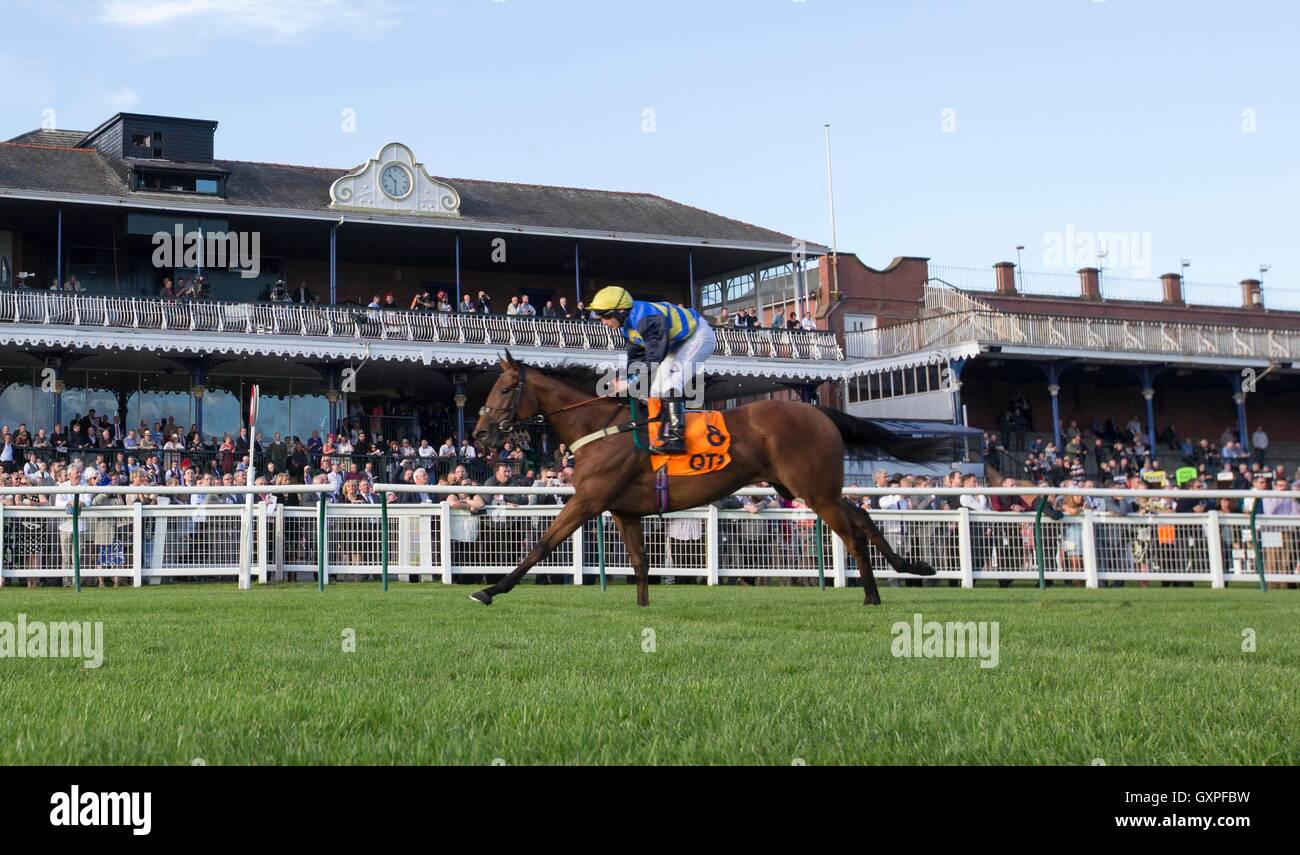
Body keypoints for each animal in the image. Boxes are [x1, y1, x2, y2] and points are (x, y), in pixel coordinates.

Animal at [467, 353, 946, 605]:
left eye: (505, 389)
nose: (480, 434)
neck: (600, 428)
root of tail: (818, 412)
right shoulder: (623, 510)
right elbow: (640, 562)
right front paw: (643, 608)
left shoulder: (588, 499)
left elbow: (542, 544)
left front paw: (491, 589)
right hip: (808, 488)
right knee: (863, 517)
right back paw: (911, 566)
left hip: (814, 490)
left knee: (851, 532)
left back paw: (872, 595)